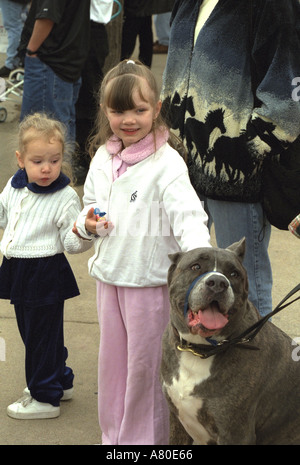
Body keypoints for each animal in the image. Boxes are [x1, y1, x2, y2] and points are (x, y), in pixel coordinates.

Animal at [161, 237, 300, 444]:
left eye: (234, 274)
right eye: (196, 266)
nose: (218, 282)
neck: (200, 350)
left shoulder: (235, 433)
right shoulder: (176, 419)